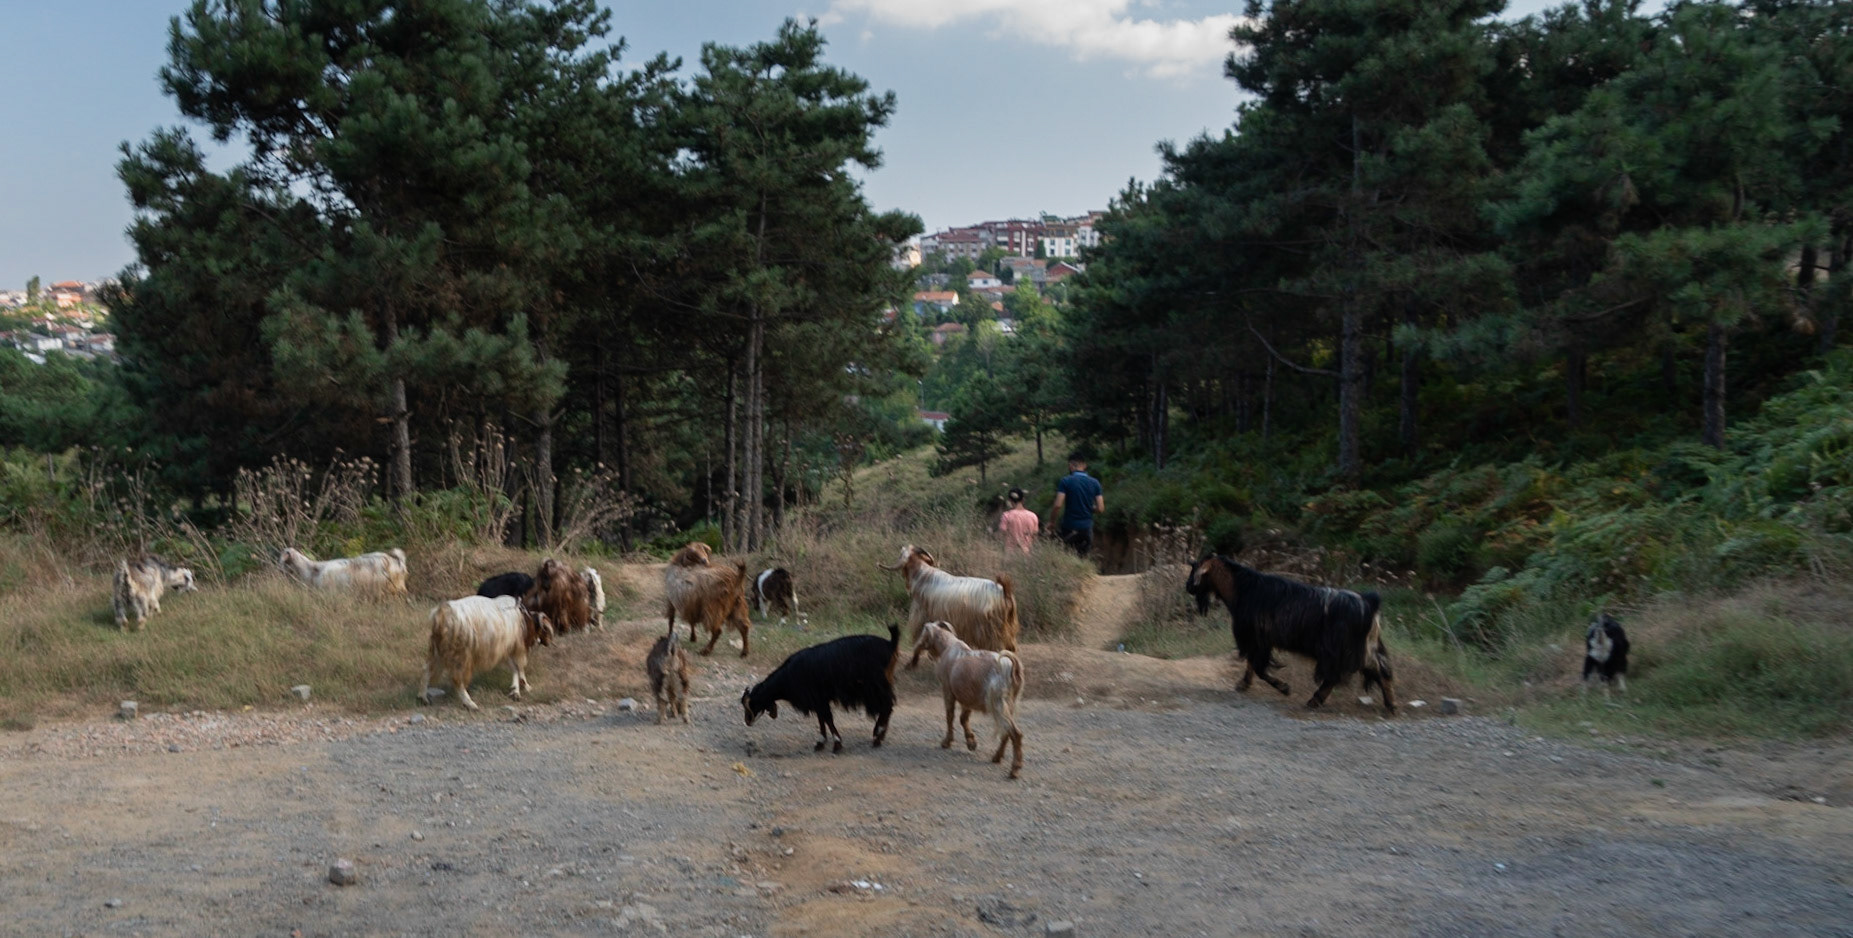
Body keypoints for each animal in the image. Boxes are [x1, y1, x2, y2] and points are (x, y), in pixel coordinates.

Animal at [419, 595, 554, 709]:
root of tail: (442, 614)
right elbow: (519, 667)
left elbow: (514, 668)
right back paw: (470, 703)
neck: (525, 620)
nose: (548, 643)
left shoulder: (503, 649)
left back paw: (423, 698)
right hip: (461, 653)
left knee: (426, 669)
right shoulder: (515, 647)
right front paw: (523, 688)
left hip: (438, 649)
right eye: (545, 630)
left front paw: (515, 690)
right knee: (457, 679)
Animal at [741, 625, 900, 753]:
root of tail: (890, 644)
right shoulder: (817, 700)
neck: (789, 676)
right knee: (888, 706)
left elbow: (827, 719)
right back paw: (880, 735)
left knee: (887, 705)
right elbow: (821, 719)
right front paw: (821, 742)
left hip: (874, 687)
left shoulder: (819, 698)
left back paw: (877, 735)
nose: (747, 721)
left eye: (751, 705)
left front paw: (837, 744)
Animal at [879, 544, 1019, 669]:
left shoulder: (921, 616)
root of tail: (1004, 592)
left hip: (992, 632)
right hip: (1007, 629)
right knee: (1011, 649)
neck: (923, 575)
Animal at [913, 620, 1025, 778]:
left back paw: (1014, 769)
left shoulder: (947, 691)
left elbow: (950, 716)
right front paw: (971, 742)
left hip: (998, 704)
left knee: (1015, 733)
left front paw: (946, 742)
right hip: (1010, 704)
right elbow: (963, 719)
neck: (948, 646)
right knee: (1006, 733)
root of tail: (1012, 665)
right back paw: (997, 757)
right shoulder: (967, 698)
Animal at [1185, 554, 1396, 715]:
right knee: (1381, 668)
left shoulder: (1257, 638)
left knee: (1335, 676)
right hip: (1365, 647)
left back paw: (1315, 700)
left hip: (1339, 650)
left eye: (1195, 570)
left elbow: (1259, 667)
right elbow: (1252, 664)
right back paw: (1390, 704)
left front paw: (1284, 688)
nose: (1187, 586)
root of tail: (1369, 604)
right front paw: (1243, 684)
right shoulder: (1258, 640)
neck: (1242, 589)